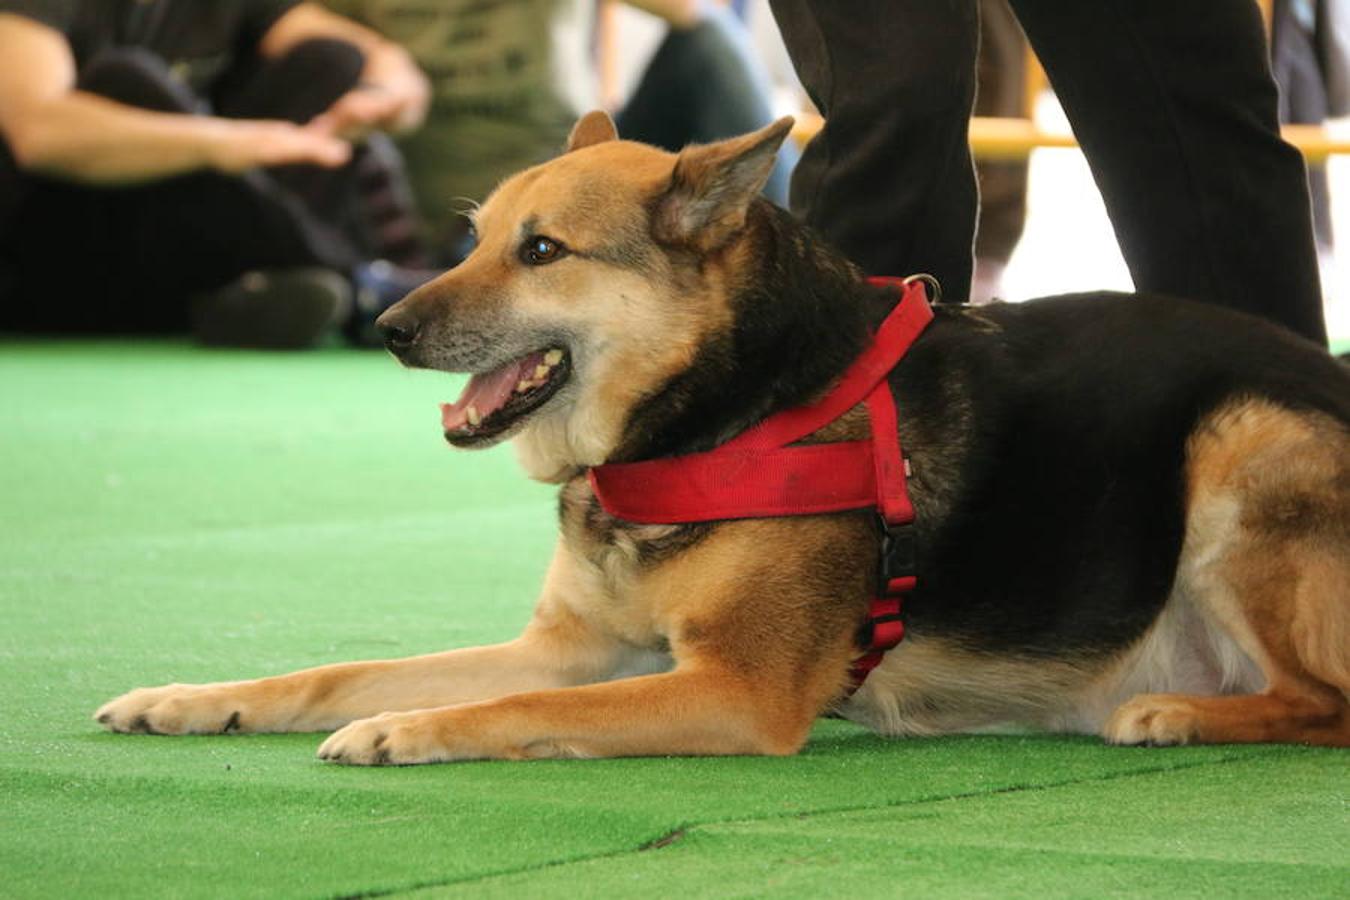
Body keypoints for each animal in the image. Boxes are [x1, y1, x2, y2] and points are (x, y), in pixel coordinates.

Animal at [97, 110, 1350, 761]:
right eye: (475, 236)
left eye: (542, 252)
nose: (390, 329)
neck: (708, 415)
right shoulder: (574, 645)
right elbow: (338, 669)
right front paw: (195, 699)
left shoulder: (730, 690)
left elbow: (522, 710)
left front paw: (418, 726)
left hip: (1239, 445)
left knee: (1327, 705)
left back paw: (1174, 713)